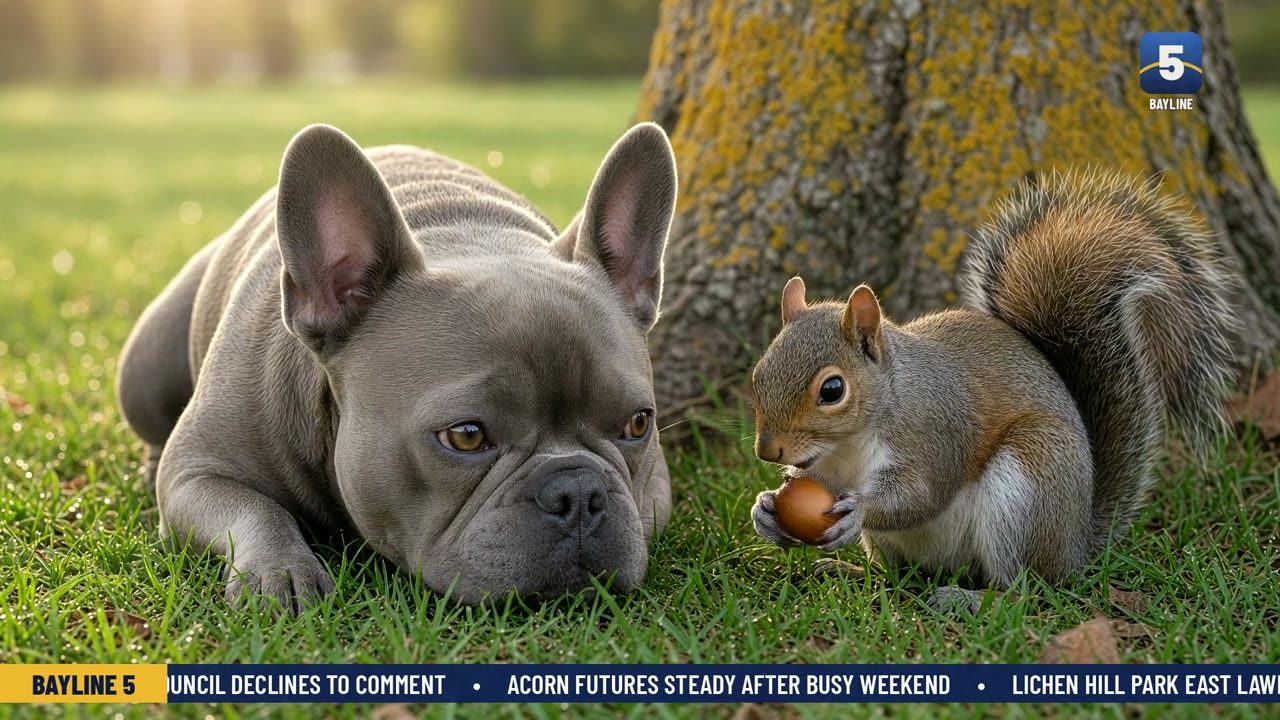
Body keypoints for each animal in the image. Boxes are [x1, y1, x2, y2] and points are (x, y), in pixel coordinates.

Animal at [749, 170, 1236, 591]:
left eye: (832, 390)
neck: (848, 446)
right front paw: (767, 508)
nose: (767, 450)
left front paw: (858, 510)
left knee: (1023, 586)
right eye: (759, 374)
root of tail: (1077, 544)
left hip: (1028, 484)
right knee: (899, 575)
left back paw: (966, 598)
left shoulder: (934, 433)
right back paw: (851, 572)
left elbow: (922, 495)